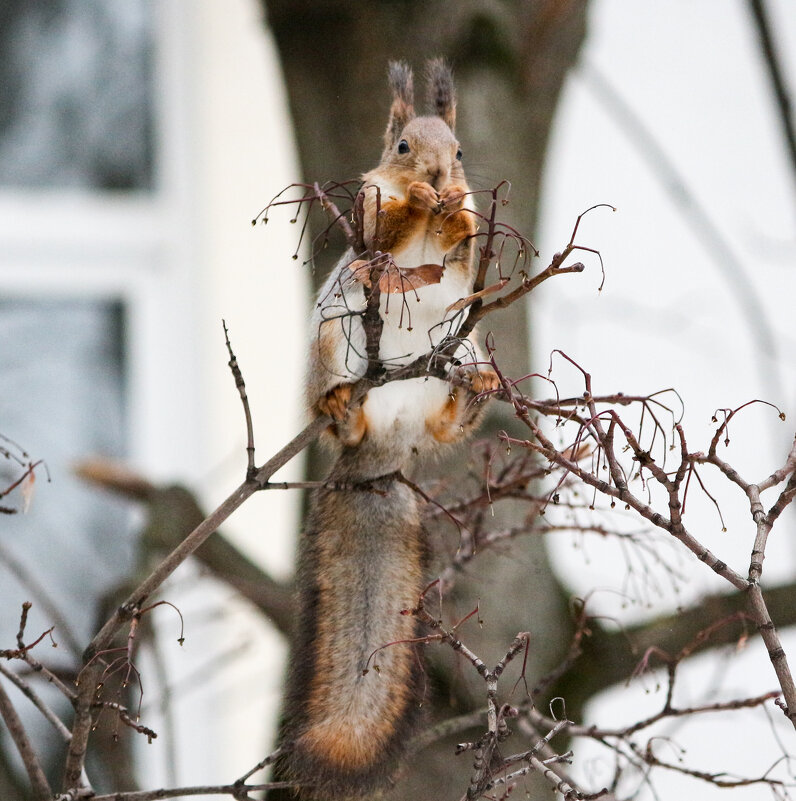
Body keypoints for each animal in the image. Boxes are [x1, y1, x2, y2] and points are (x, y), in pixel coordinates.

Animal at [276, 59, 494, 796]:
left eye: (460, 152)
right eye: (402, 147)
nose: (438, 174)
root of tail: (387, 444)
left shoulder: (467, 257)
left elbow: (464, 252)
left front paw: (451, 208)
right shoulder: (369, 219)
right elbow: (387, 232)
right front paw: (420, 204)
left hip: (465, 347)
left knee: (450, 423)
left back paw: (476, 395)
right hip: (332, 342)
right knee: (339, 411)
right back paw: (343, 407)